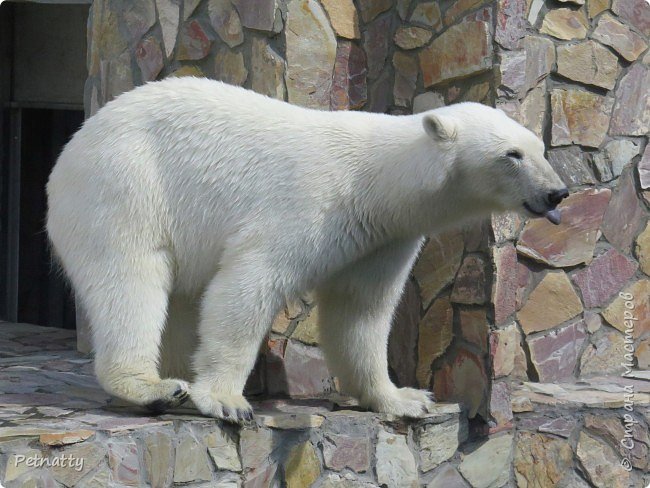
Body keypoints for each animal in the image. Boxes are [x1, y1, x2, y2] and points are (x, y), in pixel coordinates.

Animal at [46, 77, 560, 424]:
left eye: (540, 147)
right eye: (512, 155)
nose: (557, 193)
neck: (376, 181)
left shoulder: (383, 236)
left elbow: (359, 312)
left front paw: (405, 398)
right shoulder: (309, 204)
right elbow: (248, 284)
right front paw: (227, 401)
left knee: (179, 297)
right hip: (123, 185)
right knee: (131, 279)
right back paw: (155, 387)